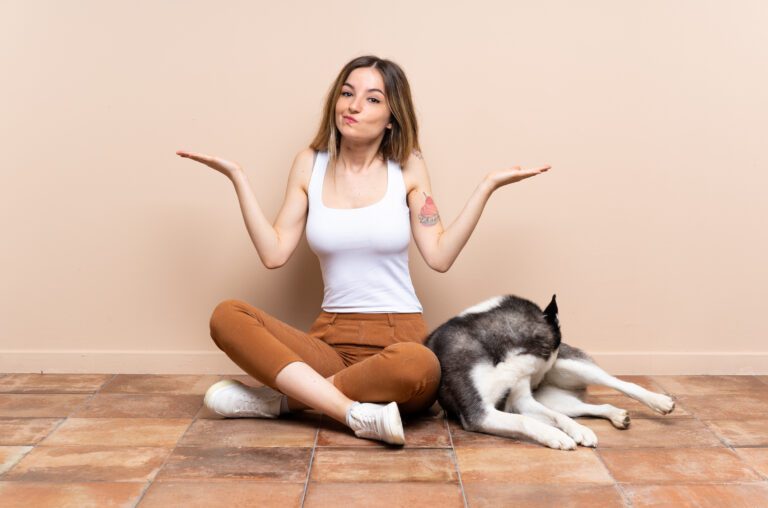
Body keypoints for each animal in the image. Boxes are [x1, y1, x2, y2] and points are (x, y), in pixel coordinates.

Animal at [424, 294, 676, 448]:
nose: (538, 384)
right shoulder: (480, 413)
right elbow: (526, 421)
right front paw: (557, 435)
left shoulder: (522, 400)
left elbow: (555, 417)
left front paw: (577, 430)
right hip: (557, 399)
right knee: (585, 407)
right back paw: (615, 415)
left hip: (574, 366)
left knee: (619, 384)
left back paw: (659, 401)